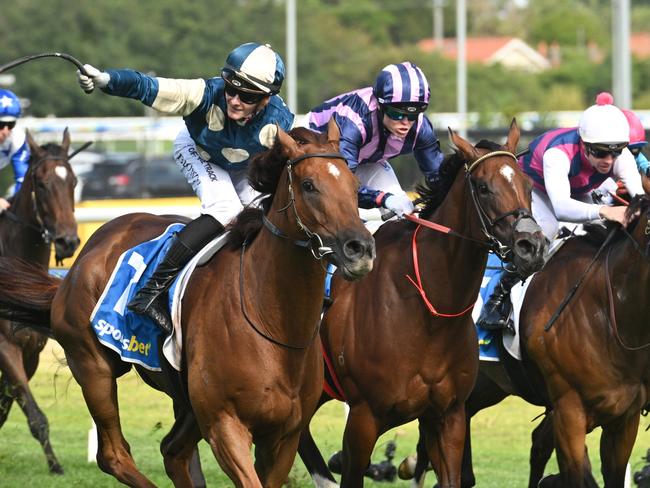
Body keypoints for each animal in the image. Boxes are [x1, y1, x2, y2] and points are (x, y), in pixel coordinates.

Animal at [0, 120, 372, 486]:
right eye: (309, 185)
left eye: (355, 186)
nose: (360, 249)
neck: (272, 321)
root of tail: (83, 257)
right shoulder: (225, 424)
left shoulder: (284, 437)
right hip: (93, 367)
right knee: (114, 455)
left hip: (184, 399)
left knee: (172, 451)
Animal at [298, 119, 548, 488]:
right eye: (483, 187)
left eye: (528, 184)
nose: (532, 246)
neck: (428, 314)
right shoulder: (363, 418)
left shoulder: (448, 416)